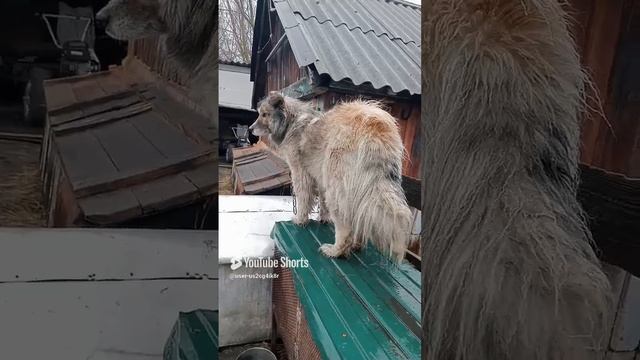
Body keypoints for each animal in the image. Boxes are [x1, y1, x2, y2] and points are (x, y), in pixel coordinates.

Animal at [250, 92, 410, 262]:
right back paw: (356, 244)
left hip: (337, 187)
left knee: (345, 226)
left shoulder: (301, 173)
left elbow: (303, 199)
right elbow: (322, 202)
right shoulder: (320, 177)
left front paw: (300, 220)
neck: (291, 122)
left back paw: (335, 250)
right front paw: (323, 219)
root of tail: (375, 127)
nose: (250, 129)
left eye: (264, 114)